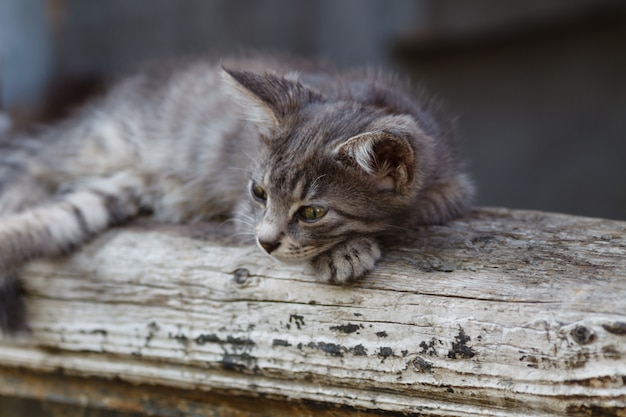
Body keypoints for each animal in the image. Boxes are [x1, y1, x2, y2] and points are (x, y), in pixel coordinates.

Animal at [0, 57, 470, 334]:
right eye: (259, 192)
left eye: (312, 212)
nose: (265, 242)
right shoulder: (243, 212)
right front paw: (345, 252)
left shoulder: (452, 188)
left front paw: (349, 247)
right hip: (100, 143)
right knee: (28, 171)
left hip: (117, 188)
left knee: (56, 217)